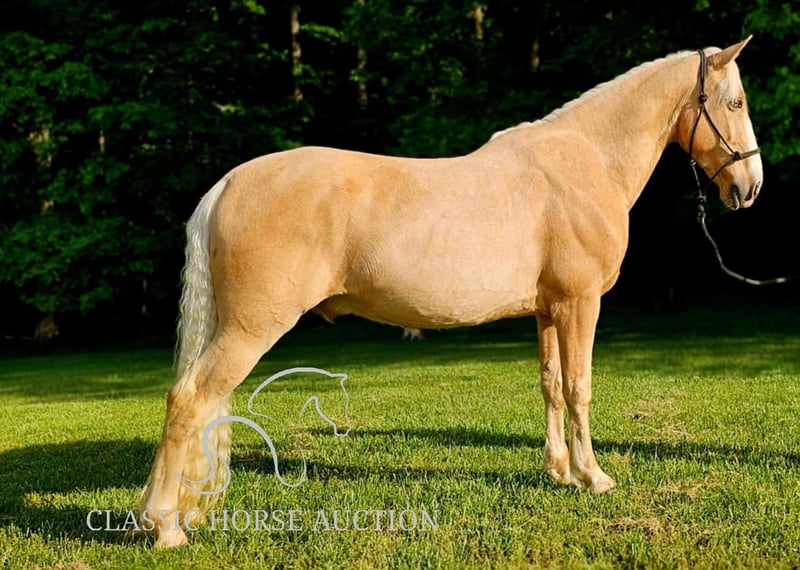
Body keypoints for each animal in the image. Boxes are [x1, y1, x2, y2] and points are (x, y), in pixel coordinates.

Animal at [139, 37, 762, 547]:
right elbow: (580, 387)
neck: (586, 162)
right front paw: (594, 477)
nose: (750, 187)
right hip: (251, 327)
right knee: (190, 399)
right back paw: (165, 527)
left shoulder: (548, 310)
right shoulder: (580, 303)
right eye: (734, 104)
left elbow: (551, 385)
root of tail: (227, 184)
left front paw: (559, 470)